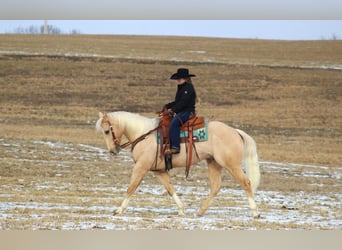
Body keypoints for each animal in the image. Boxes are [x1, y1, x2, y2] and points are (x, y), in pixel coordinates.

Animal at [95, 110, 260, 218]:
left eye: (106, 131)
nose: (113, 150)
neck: (143, 135)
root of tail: (235, 132)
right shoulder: (158, 171)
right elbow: (170, 189)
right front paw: (181, 209)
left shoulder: (141, 167)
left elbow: (131, 187)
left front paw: (119, 210)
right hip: (213, 163)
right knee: (216, 186)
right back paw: (200, 211)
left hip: (232, 165)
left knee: (246, 183)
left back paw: (255, 213)